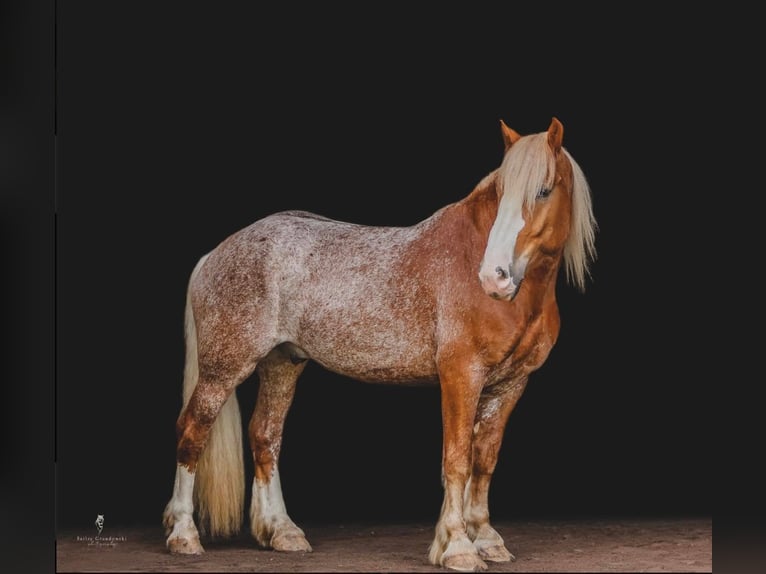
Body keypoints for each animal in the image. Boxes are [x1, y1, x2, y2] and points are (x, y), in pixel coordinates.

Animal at [164, 117, 600, 572]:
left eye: (544, 190)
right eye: (501, 194)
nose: (494, 278)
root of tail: (216, 253)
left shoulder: (510, 384)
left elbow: (484, 461)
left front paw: (487, 539)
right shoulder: (461, 375)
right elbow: (457, 460)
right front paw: (458, 546)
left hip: (282, 364)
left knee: (265, 436)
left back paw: (283, 533)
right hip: (224, 368)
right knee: (191, 432)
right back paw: (184, 535)